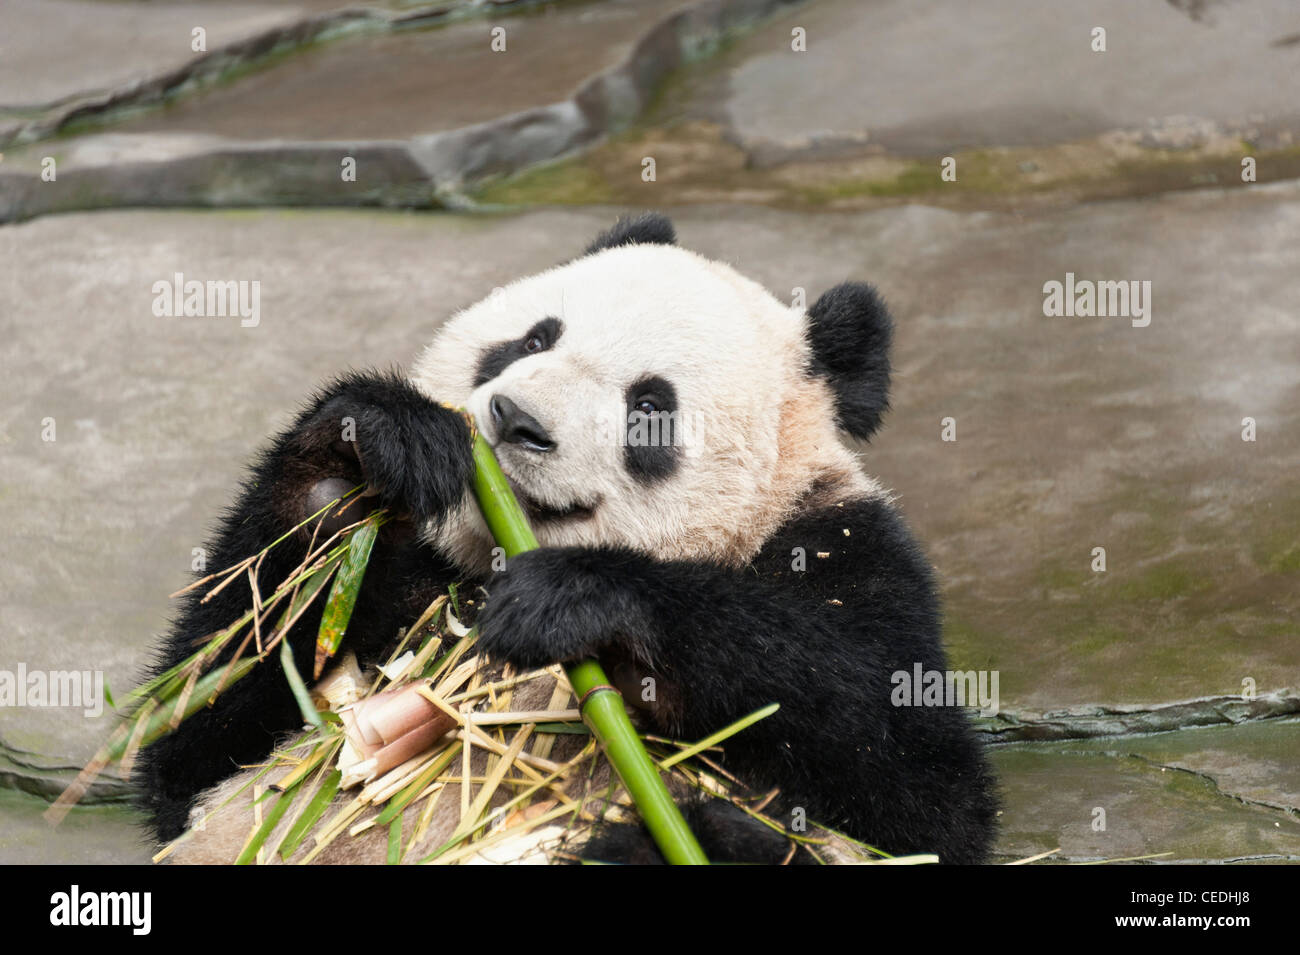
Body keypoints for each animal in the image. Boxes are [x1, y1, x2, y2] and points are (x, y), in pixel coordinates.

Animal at [137, 214, 993, 867]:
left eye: (650, 407)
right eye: (530, 340)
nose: (515, 417)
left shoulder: (848, 550)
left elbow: (920, 791)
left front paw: (582, 599)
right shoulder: (408, 591)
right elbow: (195, 741)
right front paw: (370, 444)